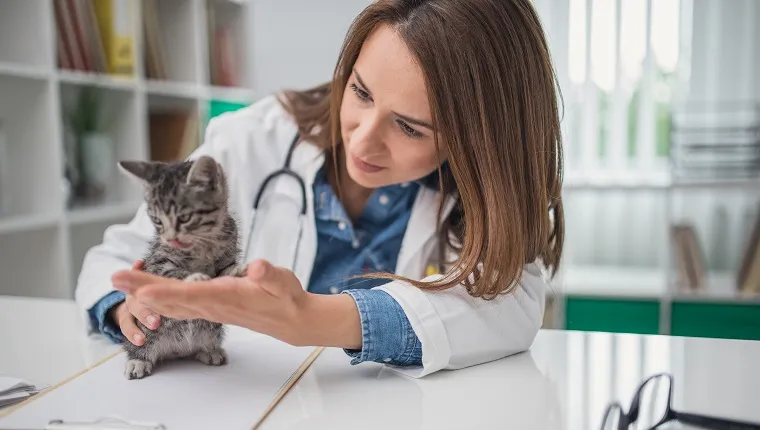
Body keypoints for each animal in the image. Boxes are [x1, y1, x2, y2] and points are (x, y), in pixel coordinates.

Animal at [117, 155, 246, 380]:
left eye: (184, 218)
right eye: (157, 220)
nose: (171, 238)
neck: (204, 243)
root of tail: (175, 351)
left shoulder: (230, 240)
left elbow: (225, 267)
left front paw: (234, 271)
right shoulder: (158, 262)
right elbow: (171, 273)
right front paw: (194, 278)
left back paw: (209, 350)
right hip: (144, 331)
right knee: (139, 344)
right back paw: (138, 360)